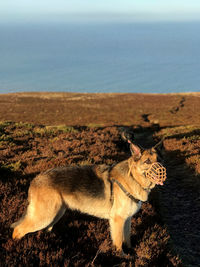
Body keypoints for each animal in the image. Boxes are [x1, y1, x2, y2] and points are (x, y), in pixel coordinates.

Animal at [11, 134, 166, 253]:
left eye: (159, 160)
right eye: (147, 161)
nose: (162, 171)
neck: (133, 177)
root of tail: (35, 180)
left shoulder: (127, 220)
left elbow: (127, 239)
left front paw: (132, 253)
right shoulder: (117, 221)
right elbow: (118, 243)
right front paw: (120, 257)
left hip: (55, 214)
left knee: (44, 230)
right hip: (44, 216)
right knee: (18, 230)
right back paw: (17, 248)